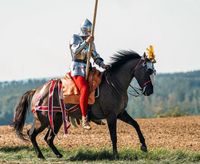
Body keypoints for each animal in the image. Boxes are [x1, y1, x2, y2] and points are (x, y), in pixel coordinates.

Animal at [12, 50, 156, 159]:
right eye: (147, 70)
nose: (149, 91)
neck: (115, 84)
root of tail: (37, 91)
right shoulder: (111, 116)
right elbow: (114, 135)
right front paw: (115, 154)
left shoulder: (120, 113)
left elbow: (135, 124)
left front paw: (143, 146)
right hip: (42, 120)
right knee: (32, 134)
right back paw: (40, 155)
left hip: (56, 120)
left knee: (48, 138)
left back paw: (58, 154)